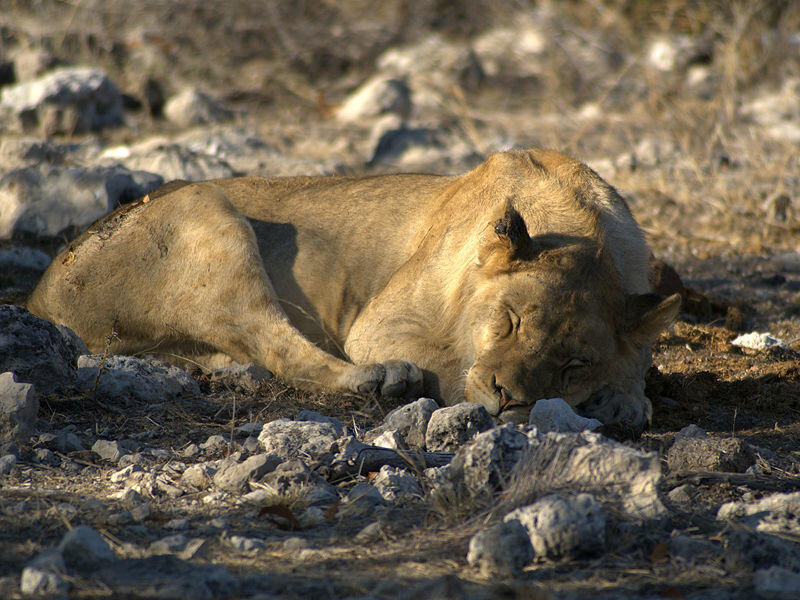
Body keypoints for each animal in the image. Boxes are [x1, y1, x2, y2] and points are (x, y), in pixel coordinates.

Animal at [27, 148, 680, 430]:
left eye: (574, 363)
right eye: (511, 320)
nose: (510, 398)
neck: (581, 227)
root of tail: (37, 296)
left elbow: (636, 360)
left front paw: (623, 399)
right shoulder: (380, 323)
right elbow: (452, 366)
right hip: (204, 209)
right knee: (280, 345)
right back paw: (382, 380)